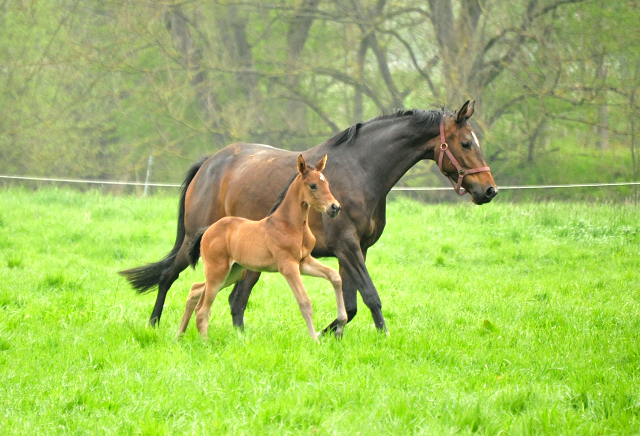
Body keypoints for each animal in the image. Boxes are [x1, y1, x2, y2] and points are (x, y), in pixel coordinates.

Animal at [175, 154, 348, 340]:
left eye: (327, 183)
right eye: (313, 185)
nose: (335, 207)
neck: (290, 225)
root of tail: (208, 230)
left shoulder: (304, 261)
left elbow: (334, 276)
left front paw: (341, 324)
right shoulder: (288, 266)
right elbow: (305, 302)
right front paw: (315, 340)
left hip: (233, 273)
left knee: (195, 289)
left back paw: (179, 335)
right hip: (218, 272)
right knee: (203, 309)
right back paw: (204, 342)